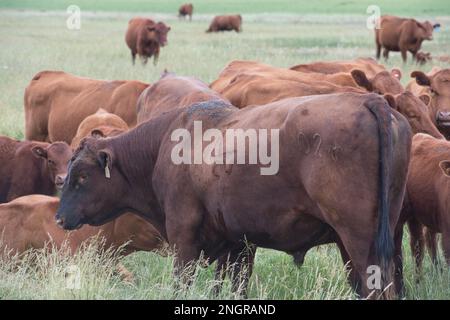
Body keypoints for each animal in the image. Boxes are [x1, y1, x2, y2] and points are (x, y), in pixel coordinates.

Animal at [55, 92, 412, 298]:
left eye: (82, 176)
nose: (59, 218)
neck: (164, 147)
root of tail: (371, 102)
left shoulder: (184, 240)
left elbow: (182, 283)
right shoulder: (239, 245)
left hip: (357, 242)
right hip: (386, 238)